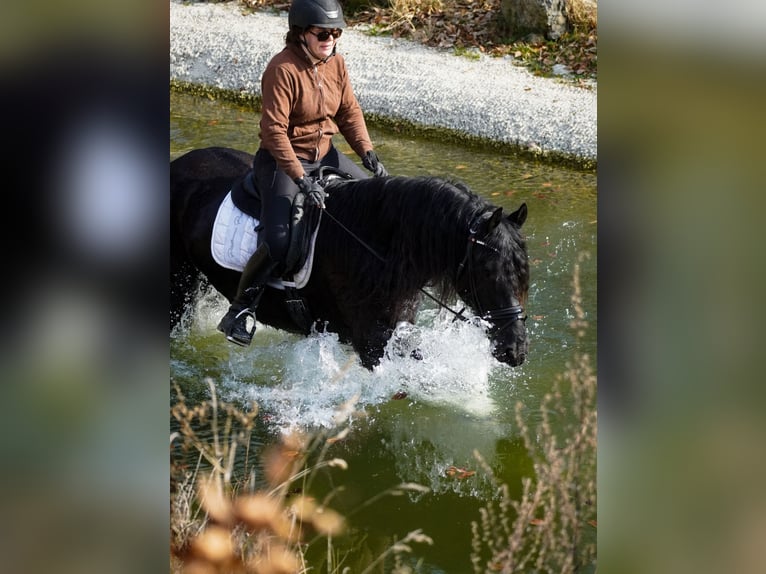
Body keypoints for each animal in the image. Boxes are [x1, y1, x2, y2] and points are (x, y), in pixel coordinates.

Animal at [171, 147, 530, 370]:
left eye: (522, 274)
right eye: (487, 270)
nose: (515, 351)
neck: (379, 245)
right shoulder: (371, 343)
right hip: (179, 283)